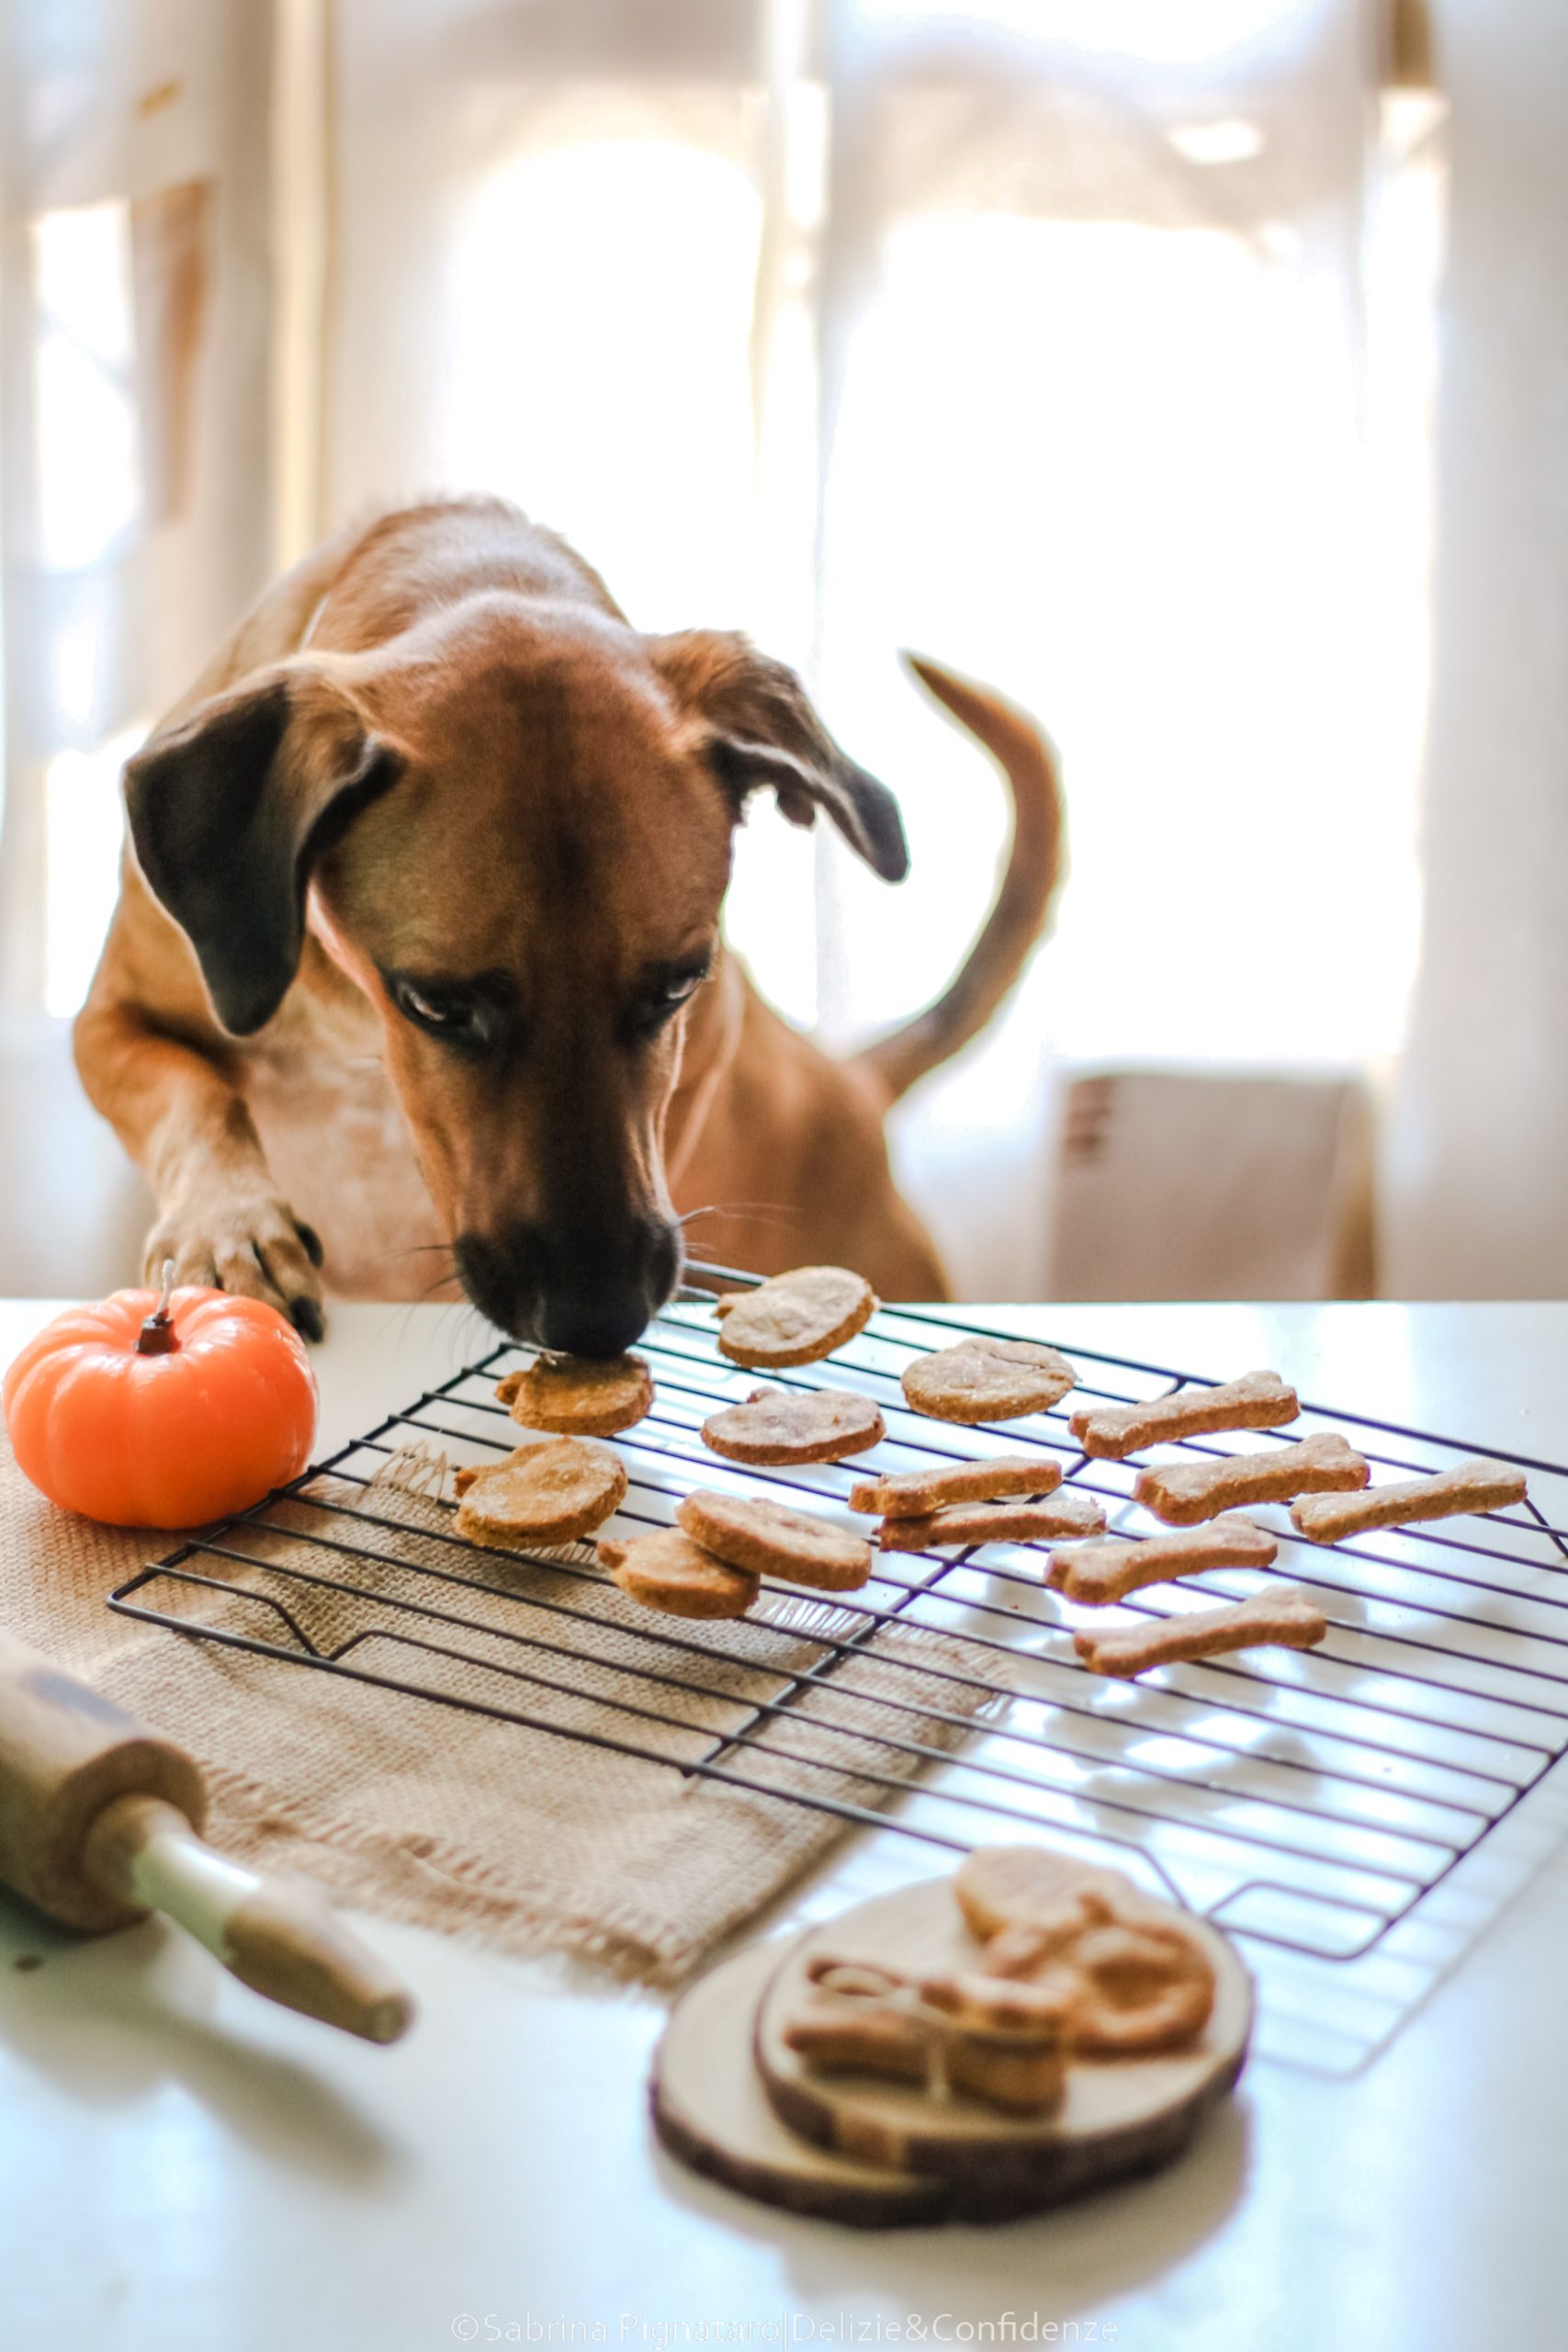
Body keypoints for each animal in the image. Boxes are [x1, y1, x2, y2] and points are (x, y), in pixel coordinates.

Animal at [70, 496, 1053, 1354]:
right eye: (435, 1006)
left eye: (675, 987)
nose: (596, 1318)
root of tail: (853, 1084)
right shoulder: (111, 1023)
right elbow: (194, 1098)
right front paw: (227, 1227)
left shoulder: (699, 1056)